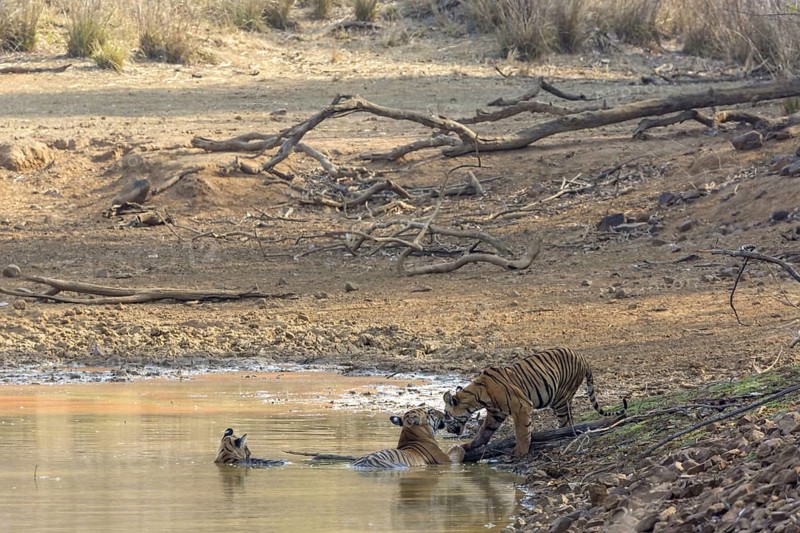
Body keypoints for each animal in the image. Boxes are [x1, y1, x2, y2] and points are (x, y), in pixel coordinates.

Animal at [443, 347, 627, 458]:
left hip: (560, 398)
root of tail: (582, 357)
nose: (446, 427)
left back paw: (557, 437)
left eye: (445, 414)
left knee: (566, 423)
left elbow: (522, 431)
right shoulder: (495, 414)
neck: (478, 397)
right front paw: (468, 446)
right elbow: (483, 433)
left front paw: (520, 452)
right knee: (570, 420)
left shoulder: (522, 406)